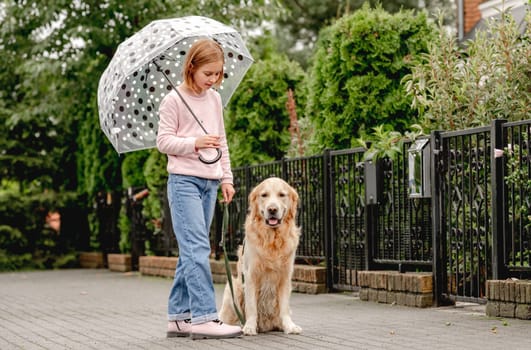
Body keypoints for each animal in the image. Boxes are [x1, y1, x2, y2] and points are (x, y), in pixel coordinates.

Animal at [220, 178, 304, 336]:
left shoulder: (285, 276)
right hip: (233, 288)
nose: (272, 209)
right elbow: (252, 306)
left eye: (282, 194)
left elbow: (284, 307)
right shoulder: (250, 275)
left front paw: (289, 326)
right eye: (264, 195)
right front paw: (250, 327)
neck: (272, 239)